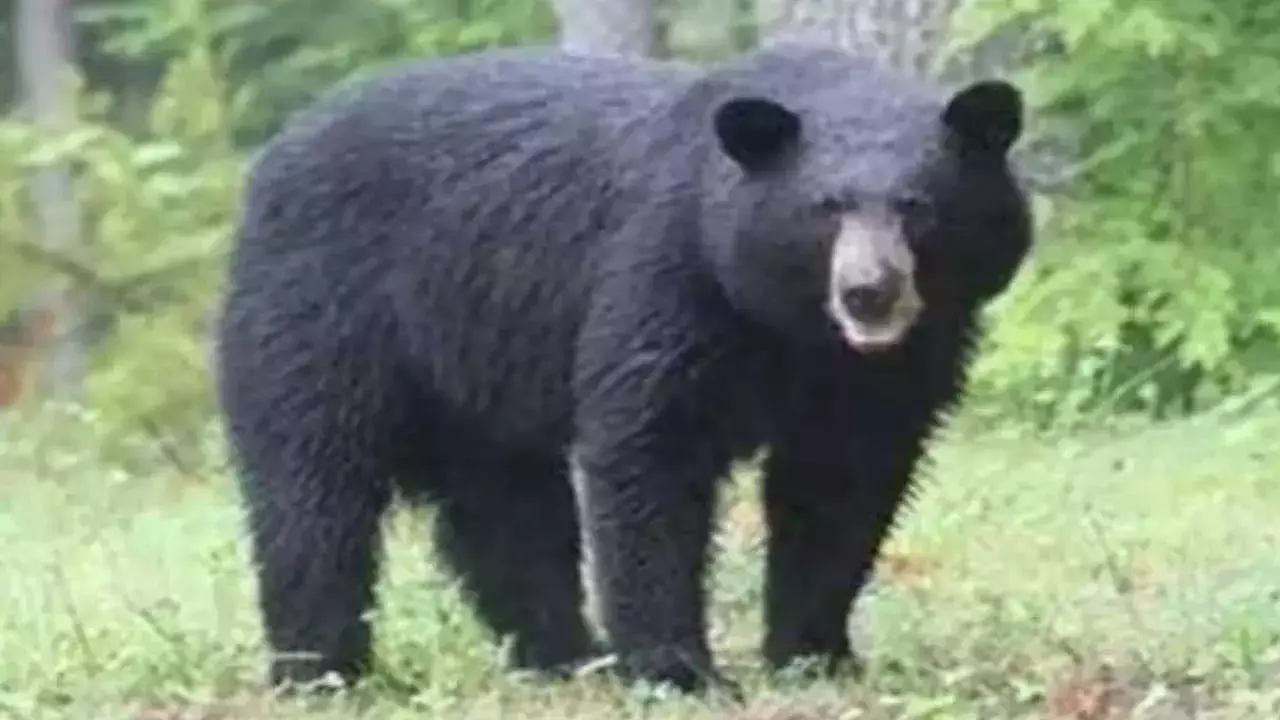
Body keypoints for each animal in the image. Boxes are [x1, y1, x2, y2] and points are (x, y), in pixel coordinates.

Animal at [214, 41, 1034, 696]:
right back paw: (320, 670)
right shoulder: (668, 275)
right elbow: (650, 454)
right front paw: (680, 670)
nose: (869, 293)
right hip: (322, 315)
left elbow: (843, 486)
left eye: (917, 205)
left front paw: (815, 654)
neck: (790, 327)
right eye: (825, 207)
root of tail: (268, 158)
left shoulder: (890, 368)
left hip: (477, 373)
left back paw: (563, 657)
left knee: (508, 512)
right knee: (315, 493)